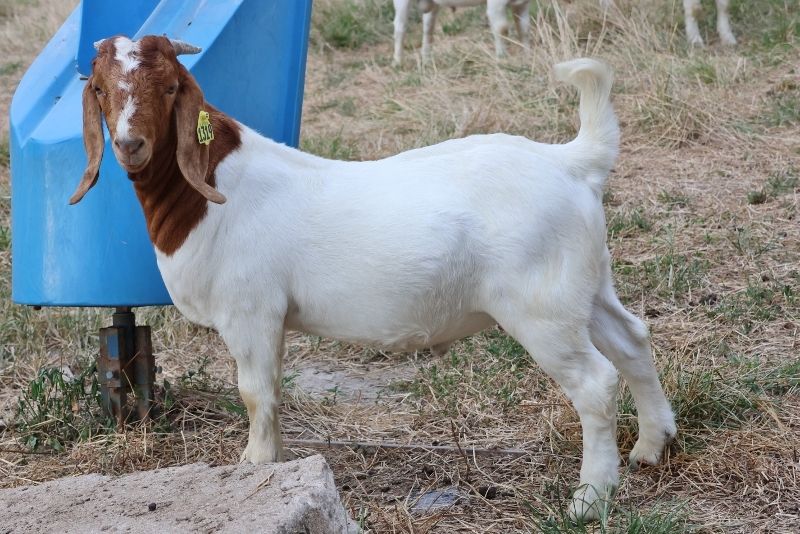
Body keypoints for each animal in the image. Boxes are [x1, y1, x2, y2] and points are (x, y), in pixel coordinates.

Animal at [392, 0, 532, 65]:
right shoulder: (496, 4)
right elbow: (501, 29)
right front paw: (502, 58)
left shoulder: (523, 4)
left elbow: (524, 29)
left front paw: (527, 56)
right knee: (400, 28)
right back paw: (398, 62)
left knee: (428, 29)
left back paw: (427, 61)